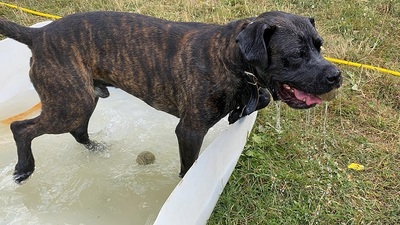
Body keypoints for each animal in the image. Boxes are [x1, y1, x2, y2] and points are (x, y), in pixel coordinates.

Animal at [0, 10, 340, 184]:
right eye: (295, 55)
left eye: (319, 45)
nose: (335, 75)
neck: (228, 57)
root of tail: (39, 34)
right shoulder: (189, 131)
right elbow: (189, 168)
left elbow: (259, 100)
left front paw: (240, 110)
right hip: (70, 103)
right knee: (21, 129)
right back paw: (24, 168)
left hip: (81, 99)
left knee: (78, 130)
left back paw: (96, 148)